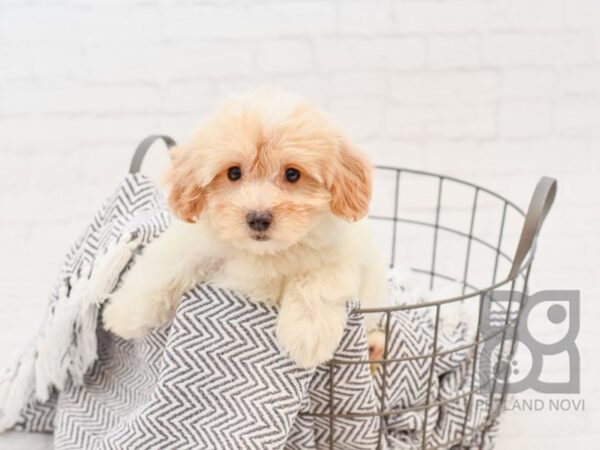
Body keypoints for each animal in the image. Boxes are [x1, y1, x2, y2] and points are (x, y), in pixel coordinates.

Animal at [102, 91, 390, 370]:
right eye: (233, 172)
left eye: (292, 174)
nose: (258, 219)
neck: (262, 253)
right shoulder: (195, 242)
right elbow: (163, 268)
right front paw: (122, 314)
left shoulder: (338, 255)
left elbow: (318, 282)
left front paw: (307, 336)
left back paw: (375, 347)